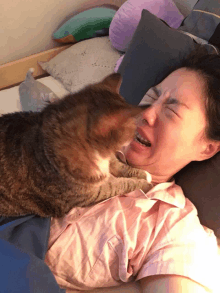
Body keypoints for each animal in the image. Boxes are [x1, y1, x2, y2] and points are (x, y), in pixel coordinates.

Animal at [0, 72, 152, 217]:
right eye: (133, 128)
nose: (137, 133)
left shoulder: (109, 159)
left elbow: (119, 165)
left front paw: (143, 174)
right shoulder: (88, 195)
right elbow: (118, 185)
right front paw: (144, 184)